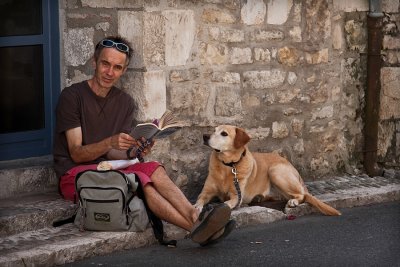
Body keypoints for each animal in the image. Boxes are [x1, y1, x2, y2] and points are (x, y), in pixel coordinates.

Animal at [194, 126, 340, 217]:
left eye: (224, 133)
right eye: (214, 130)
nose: (205, 136)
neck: (228, 166)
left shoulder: (236, 196)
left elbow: (225, 204)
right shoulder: (205, 192)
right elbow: (199, 200)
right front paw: (196, 208)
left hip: (275, 171)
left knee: (302, 195)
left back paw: (293, 201)